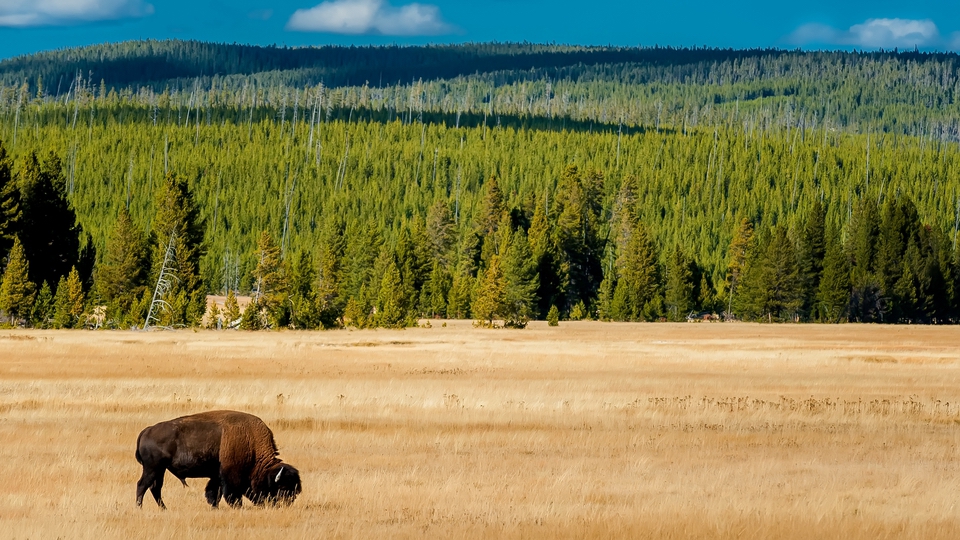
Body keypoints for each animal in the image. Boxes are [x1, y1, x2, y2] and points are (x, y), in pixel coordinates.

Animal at [135, 412, 300, 508]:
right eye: (282, 488)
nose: (285, 506)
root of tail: (147, 430)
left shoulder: (217, 476)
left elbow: (214, 492)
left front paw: (214, 506)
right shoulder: (230, 477)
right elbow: (230, 495)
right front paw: (236, 507)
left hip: (160, 470)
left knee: (155, 488)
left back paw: (163, 509)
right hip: (153, 468)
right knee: (143, 485)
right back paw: (140, 508)